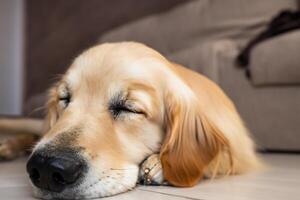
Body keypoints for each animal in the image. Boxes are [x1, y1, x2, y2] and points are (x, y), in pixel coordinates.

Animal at [0, 41, 262, 198]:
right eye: (65, 98)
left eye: (129, 108)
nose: (45, 168)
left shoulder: (239, 152)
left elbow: (216, 157)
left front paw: (158, 165)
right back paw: (7, 146)